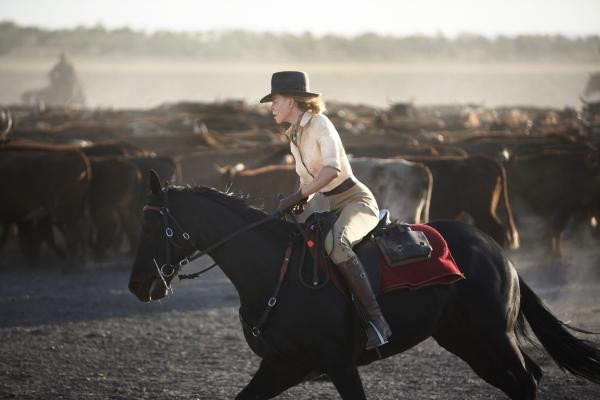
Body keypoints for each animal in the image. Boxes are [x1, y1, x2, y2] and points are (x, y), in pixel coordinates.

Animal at [127, 173, 600, 400]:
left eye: (151, 224)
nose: (138, 285)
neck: (274, 275)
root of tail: (497, 252)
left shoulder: (340, 365)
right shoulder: (281, 367)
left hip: (492, 336)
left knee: (527, 380)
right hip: (466, 340)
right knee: (523, 380)